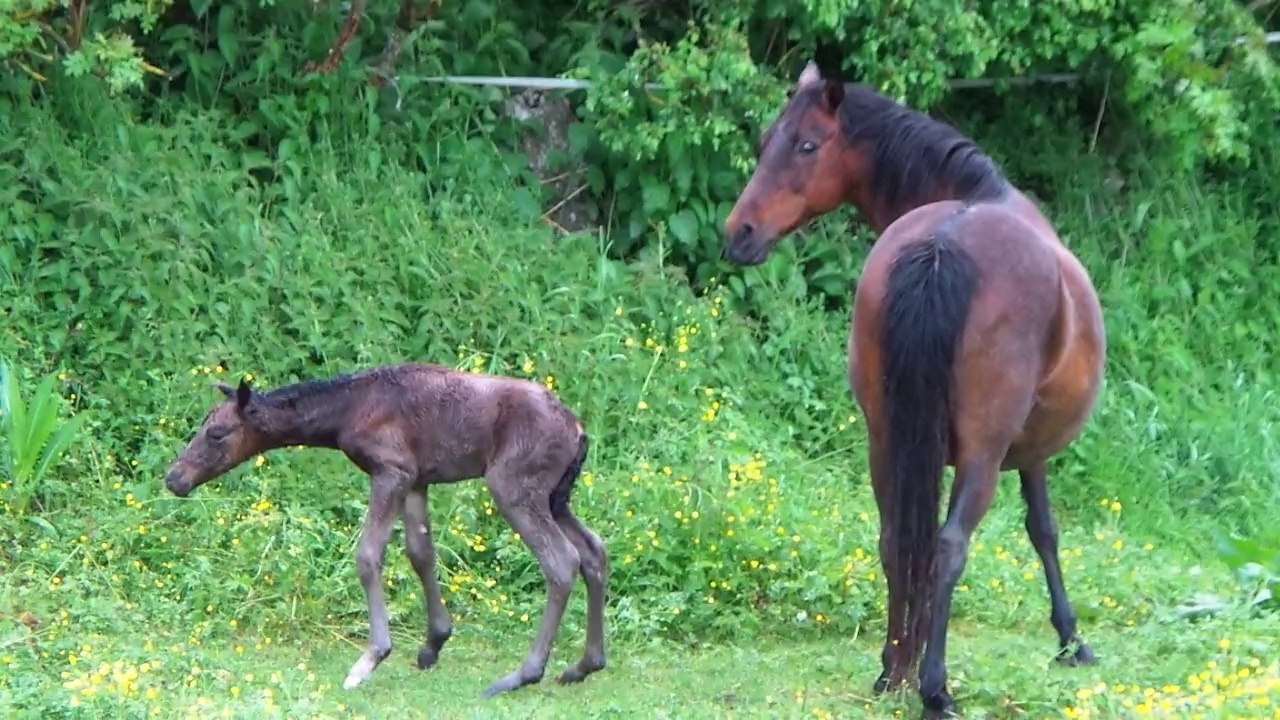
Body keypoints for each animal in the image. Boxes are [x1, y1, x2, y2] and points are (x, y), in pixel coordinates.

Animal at [163, 363, 609, 697]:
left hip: (514, 486)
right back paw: (584, 665)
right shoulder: (417, 479)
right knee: (594, 551)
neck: (344, 414)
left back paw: (523, 674)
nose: (174, 478)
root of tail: (580, 431)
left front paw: (371, 657)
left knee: (561, 561)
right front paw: (433, 644)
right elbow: (420, 553)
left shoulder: (391, 471)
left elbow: (368, 555)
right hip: (557, 497)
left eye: (217, 433)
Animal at [722, 61, 1106, 717]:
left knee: (896, 539)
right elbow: (1044, 531)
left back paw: (892, 670)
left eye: (804, 144)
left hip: (885, 440)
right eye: (767, 141)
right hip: (981, 454)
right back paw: (933, 685)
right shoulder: (1026, 454)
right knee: (948, 547)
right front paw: (1070, 637)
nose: (738, 232)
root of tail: (942, 245)